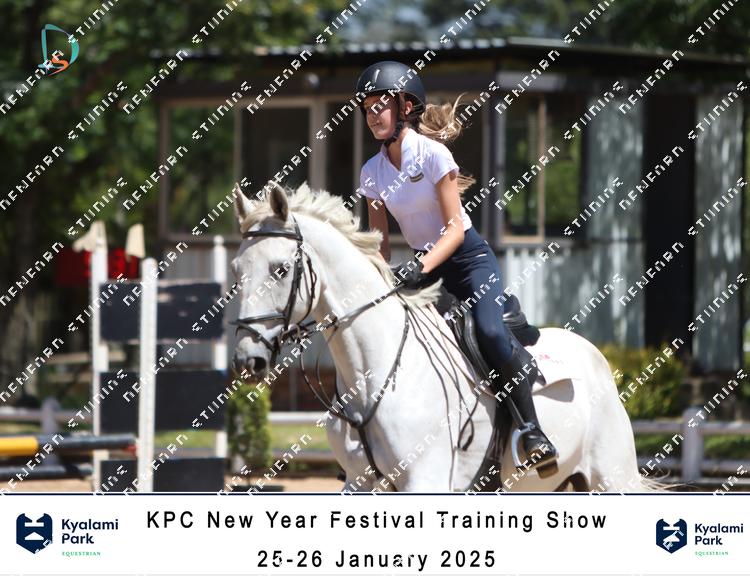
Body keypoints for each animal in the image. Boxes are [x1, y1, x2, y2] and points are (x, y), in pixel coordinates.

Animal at [229, 181, 661, 493]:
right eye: (236, 270)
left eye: (281, 269)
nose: (247, 360)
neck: (372, 372)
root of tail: (596, 355)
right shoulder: (358, 482)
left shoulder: (424, 478)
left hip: (612, 477)